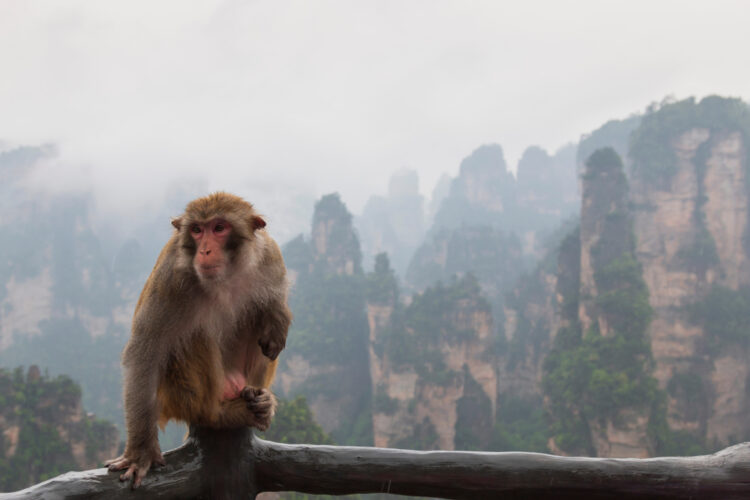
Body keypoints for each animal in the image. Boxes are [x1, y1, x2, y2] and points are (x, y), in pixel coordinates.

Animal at [105, 191, 290, 488]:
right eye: (196, 230)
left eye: (219, 228)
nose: (204, 251)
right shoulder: (171, 278)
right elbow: (146, 352)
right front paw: (141, 451)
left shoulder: (269, 254)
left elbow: (273, 304)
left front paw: (277, 317)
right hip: (181, 395)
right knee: (195, 335)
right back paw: (221, 414)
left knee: (256, 320)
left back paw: (259, 401)